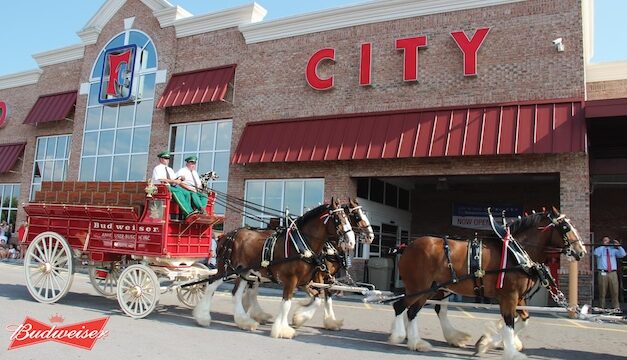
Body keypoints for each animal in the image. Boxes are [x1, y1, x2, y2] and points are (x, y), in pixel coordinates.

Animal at [194, 200, 356, 338]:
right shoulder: (292, 280)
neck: (302, 245)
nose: (352, 242)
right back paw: (203, 317)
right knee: (211, 286)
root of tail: (225, 236)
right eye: (339, 219)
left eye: (348, 218)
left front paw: (300, 318)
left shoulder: (307, 280)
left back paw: (244, 321)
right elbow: (286, 303)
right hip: (225, 268)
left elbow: (317, 298)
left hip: (243, 271)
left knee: (236, 294)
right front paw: (283, 330)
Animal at [390, 208, 588, 360]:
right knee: (403, 307)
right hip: (420, 288)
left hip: (434, 288)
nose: (581, 252)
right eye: (566, 227)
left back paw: (431, 340)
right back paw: (405, 338)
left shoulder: (519, 297)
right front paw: (511, 351)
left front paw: (488, 343)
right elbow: (509, 322)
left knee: (421, 311)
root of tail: (407, 246)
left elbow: (523, 320)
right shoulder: (509, 296)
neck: (515, 252)